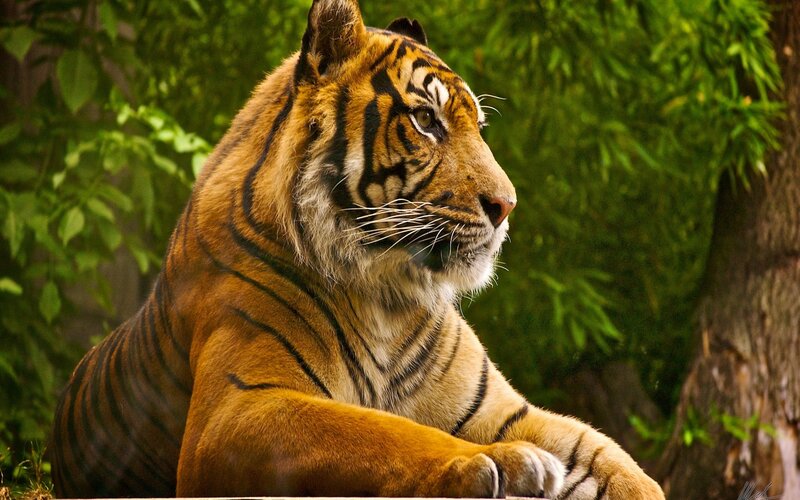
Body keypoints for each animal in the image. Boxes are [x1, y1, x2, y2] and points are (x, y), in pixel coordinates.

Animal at [50, 1, 665, 498]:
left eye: (478, 125)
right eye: (426, 120)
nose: (506, 205)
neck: (389, 294)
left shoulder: (502, 408)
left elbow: (614, 459)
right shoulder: (237, 408)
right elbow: (384, 430)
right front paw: (499, 462)